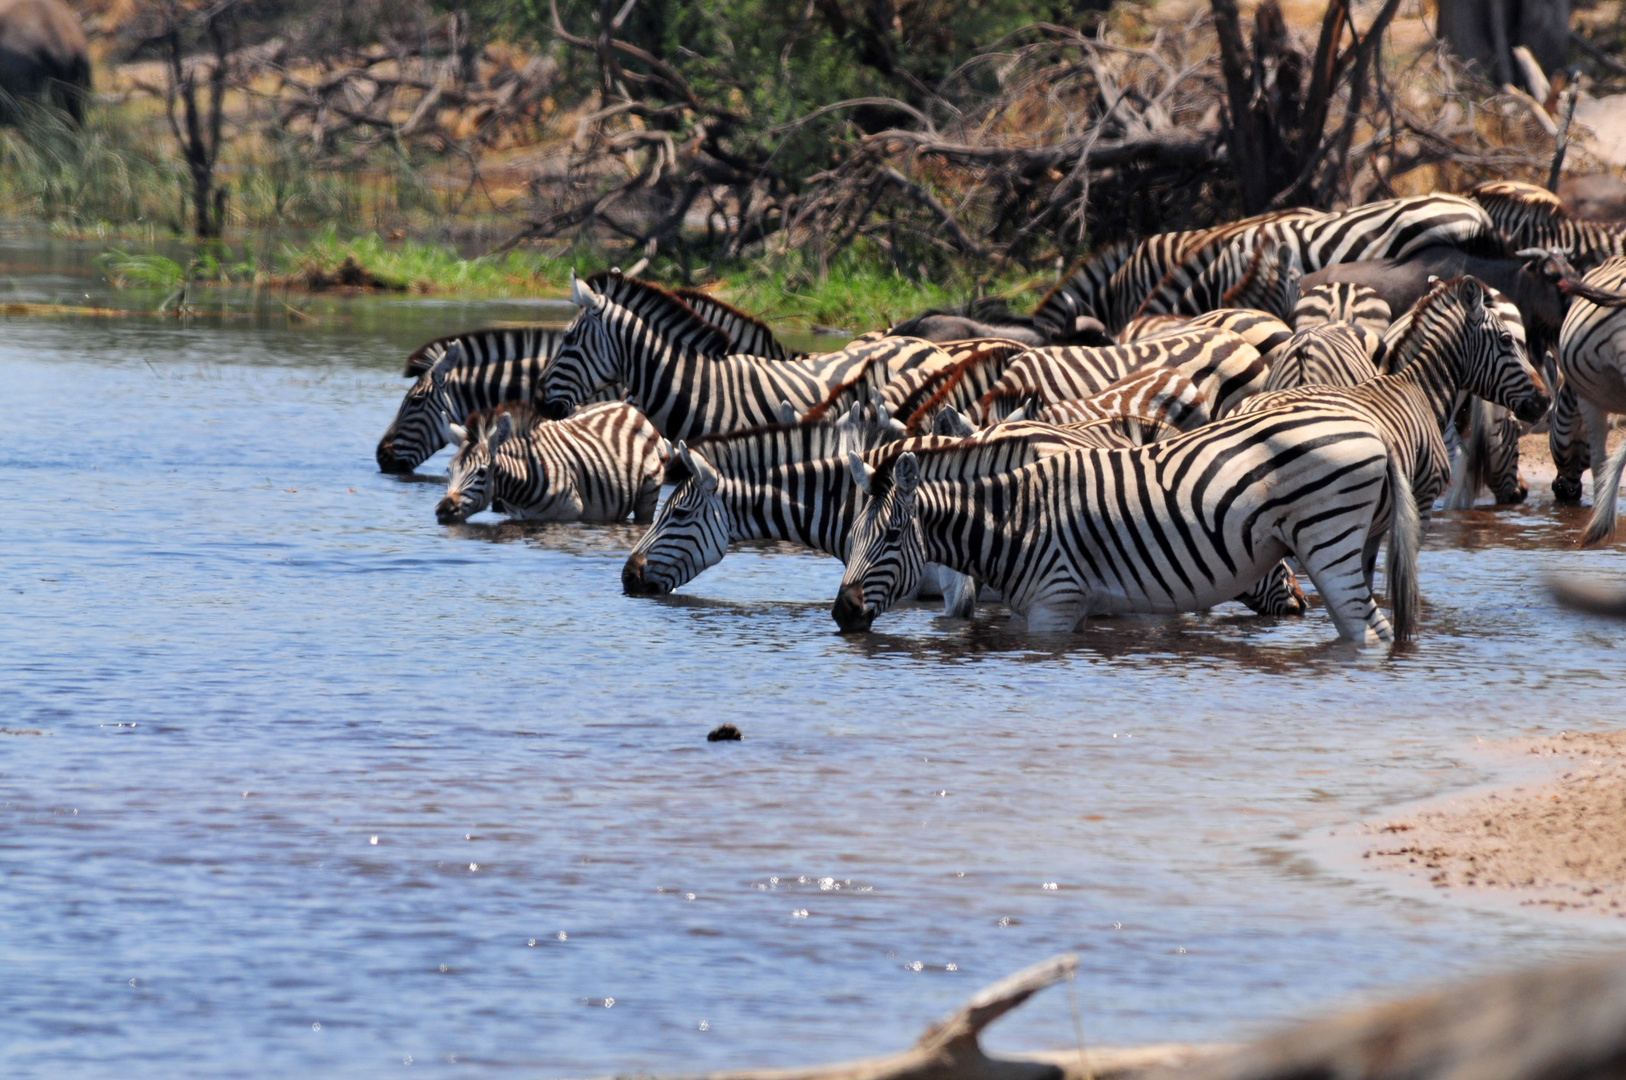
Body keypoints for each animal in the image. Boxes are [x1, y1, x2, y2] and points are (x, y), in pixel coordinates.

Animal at [435, 403, 663, 523]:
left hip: (648, 495)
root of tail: (627, 407)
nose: (443, 510)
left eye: (482, 472)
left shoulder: (568, 515)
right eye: (449, 471)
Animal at [832, 400, 1417, 644]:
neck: (1018, 517)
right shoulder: (1073, 607)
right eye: (851, 536)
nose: (841, 613)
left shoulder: (1053, 604)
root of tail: (1372, 428)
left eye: (890, 537)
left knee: (1369, 630)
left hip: (1329, 540)